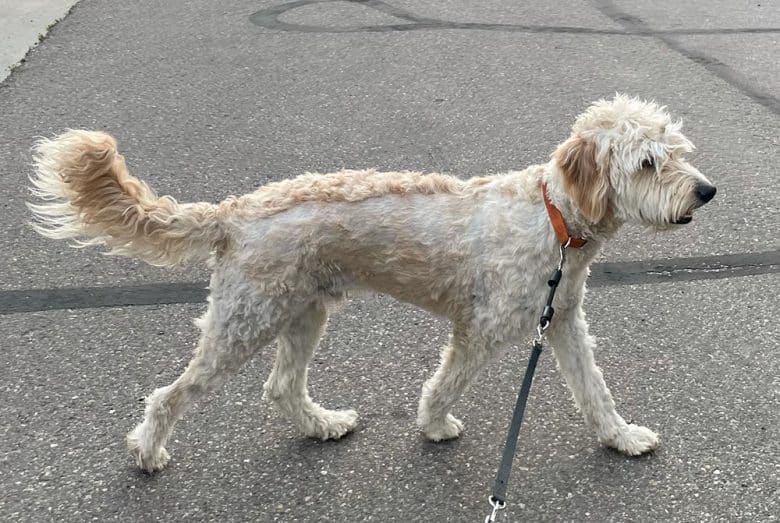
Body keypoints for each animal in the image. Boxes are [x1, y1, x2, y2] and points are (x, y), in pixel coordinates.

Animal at [29, 95, 712, 474]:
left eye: (680, 151)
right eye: (648, 162)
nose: (706, 190)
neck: (554, 216)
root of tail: (235, 212)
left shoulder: (563, 320)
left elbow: (595, 391)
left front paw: (621, 438)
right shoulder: (482, 329)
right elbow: (447, 380)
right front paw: (433, 424)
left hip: (303, 313)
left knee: (281, 388)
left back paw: (321, 425)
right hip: (244, 322)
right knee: (169, 395)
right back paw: (147, 452)